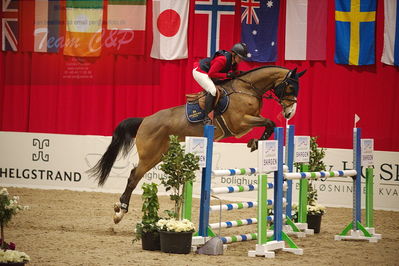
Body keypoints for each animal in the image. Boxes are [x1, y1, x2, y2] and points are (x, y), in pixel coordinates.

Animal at [88, 65, 306, 223]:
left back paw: (119, 209)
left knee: (135, 175)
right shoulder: (239, 122)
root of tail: (145, 120)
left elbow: (269, 123)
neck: (247, 90)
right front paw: (255, 142)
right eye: (290, 87)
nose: (289, 113)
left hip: (159, 154)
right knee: (134, 177)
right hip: (150, 155)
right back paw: (120, 211)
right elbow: (269, 122)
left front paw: (255, 141)